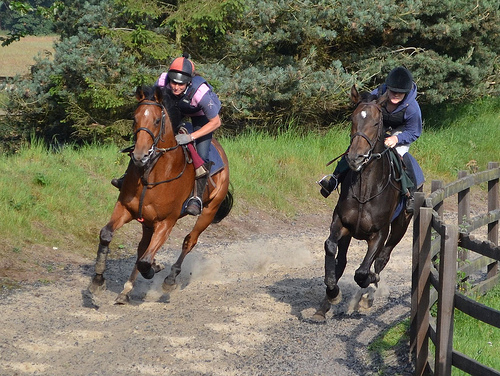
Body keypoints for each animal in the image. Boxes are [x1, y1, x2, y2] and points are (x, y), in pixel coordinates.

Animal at [88, 85, 232, 302]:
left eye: (157, 120)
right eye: (135, 118)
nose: (139, 156)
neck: (152, 174)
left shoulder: (166, 222)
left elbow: (145, 261)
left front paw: (154, 268)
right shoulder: (126, 208)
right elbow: (107, 234)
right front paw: (97, 280)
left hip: (209, 211)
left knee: (189, 241)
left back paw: (170, 279)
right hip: (147, 221)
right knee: (143, 247)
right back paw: (127, 289)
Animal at [314, 85, 416, 320]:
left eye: (377, 123)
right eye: (352, 119)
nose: (355, 158)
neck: (365, 188)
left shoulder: (379, 233)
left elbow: (362, 272)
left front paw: (370, 285)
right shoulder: (341, 223)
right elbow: (330, 248)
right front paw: (332, 292)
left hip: (401, 225)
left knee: (381, 259)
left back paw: (368, 295)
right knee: (342, 260)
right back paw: (325, 304)